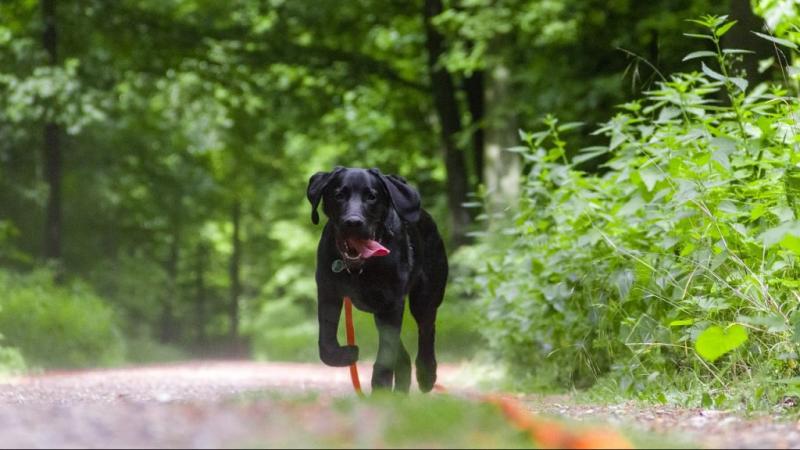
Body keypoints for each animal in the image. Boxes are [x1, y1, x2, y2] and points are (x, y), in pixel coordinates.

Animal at [304, 167, 446, 392]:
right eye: (339, 195)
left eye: (371, 196)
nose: (353, 222)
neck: (359, 269)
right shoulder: (328, 293)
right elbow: (326, 345)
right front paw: (347, 355)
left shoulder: (392, 303)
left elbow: (386, 354)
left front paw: (380, 387)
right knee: (403, 354)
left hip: (425, 297)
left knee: (426, 331)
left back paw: (426, 375)